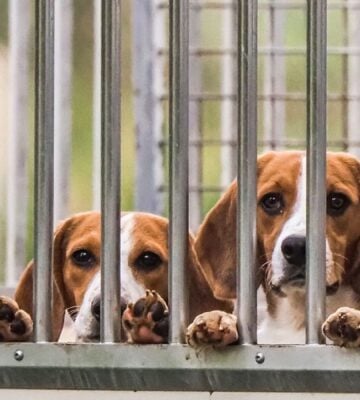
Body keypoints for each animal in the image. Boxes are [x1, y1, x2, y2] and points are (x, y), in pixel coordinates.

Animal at [186, 150, 360, 346]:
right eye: (271, 200)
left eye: (337, 201)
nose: (297, 248)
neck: (298, 319)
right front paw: (218, 320)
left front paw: (352, 320)